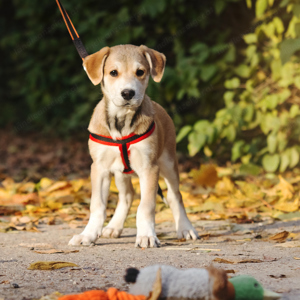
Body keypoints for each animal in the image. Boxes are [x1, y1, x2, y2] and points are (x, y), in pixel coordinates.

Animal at [69, 43, 198, 247]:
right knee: (127, 195)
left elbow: (146, 206)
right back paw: (114, 226)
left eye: (140, 72)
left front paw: (146, 235)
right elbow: (97, 206)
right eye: (113, 72)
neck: (122, 123)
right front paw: (88, 235)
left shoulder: (149, 168)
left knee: (174, 196)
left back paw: (185, 228)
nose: (128, 93)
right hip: (120, 171)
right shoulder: (100, 168)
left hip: (168, 162)